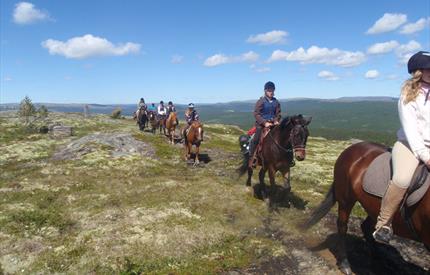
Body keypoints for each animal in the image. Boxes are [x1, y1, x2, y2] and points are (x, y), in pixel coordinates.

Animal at [302, 142, 430, 275]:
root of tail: (351, 148)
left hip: (373, 207)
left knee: (366, 227)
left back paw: (378, 260)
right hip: (346, 199)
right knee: (342, 226)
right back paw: (345, 263)